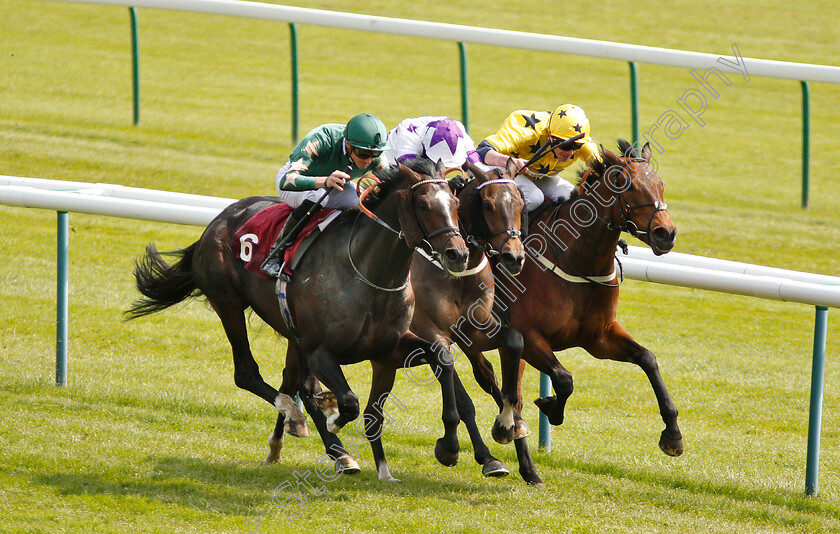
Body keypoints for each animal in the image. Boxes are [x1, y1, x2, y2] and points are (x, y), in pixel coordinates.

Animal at [127, 158, 470, 474]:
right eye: (423, 204)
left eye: (455, 203)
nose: (458, 254)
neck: (368, 273)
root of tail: (218, 220)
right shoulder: (320, 350)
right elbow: (347, 401)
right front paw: (333, 420)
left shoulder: (388, 347)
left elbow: (442, 357)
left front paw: (449, 447)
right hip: (228, 303)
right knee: (251, 375)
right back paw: (314, 432)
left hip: (292, 333)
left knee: (290, 380)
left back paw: (294, 443)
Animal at [472, 139, 684, 486]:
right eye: (628, 185)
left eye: (661, 184)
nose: (665, 233)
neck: (577, 257)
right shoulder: (530, 337)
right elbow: (563, 378)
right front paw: (549, 406)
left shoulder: (599, 338)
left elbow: (648, 359)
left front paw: (673, 436)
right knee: (493, 383)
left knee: (506, 388)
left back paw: (528, 468)